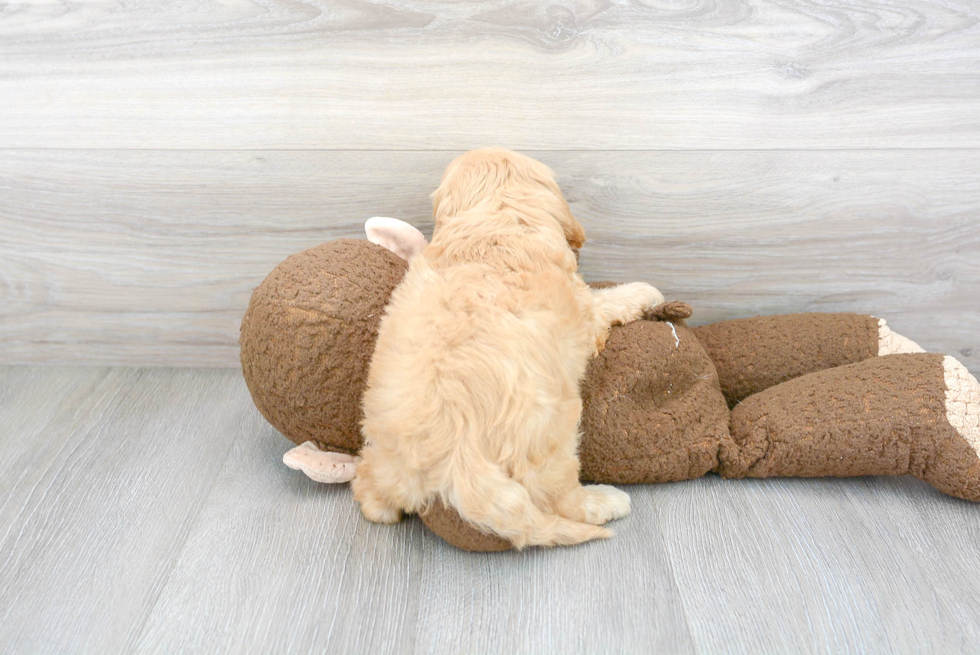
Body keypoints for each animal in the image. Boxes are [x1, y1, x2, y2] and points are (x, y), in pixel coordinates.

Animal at [354, 150, 668, 548]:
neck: (494, 221)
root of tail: (458, 462)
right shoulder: (583, 310)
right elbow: (606, 301)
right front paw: (644, 292)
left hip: (384, 455)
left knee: (372, 494)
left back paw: (378, 503)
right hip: (553, 433)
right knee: (560, 496)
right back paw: (605, 501)